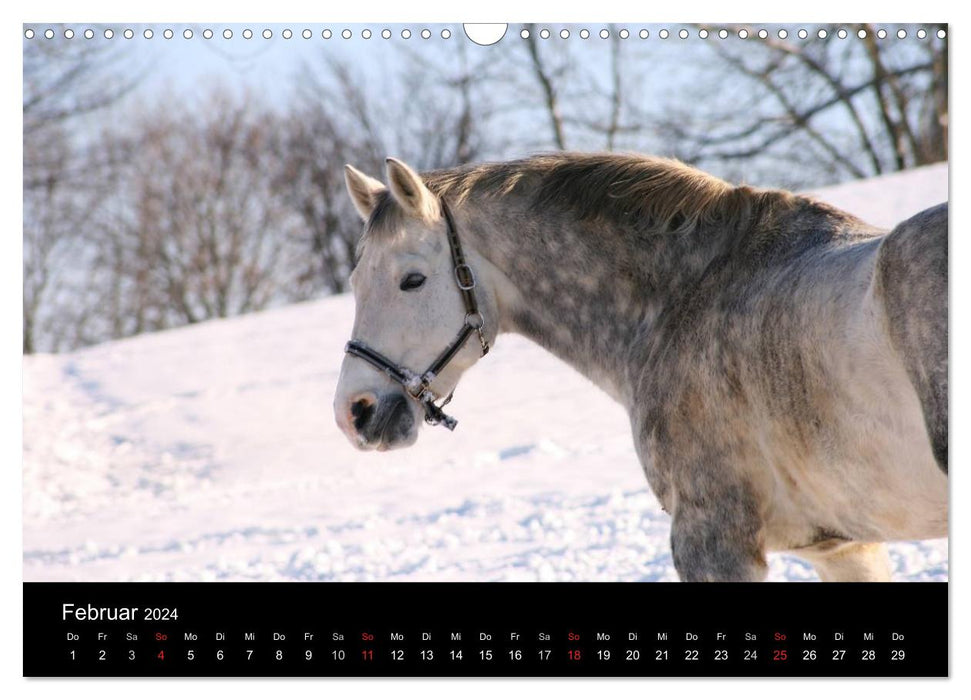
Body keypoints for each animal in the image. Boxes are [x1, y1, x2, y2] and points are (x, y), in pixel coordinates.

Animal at [334, 154, 948, 584]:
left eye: (412, 280)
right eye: (354, 281)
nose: (354, 413)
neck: (684, 297)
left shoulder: (713, 543)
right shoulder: (844, 546)